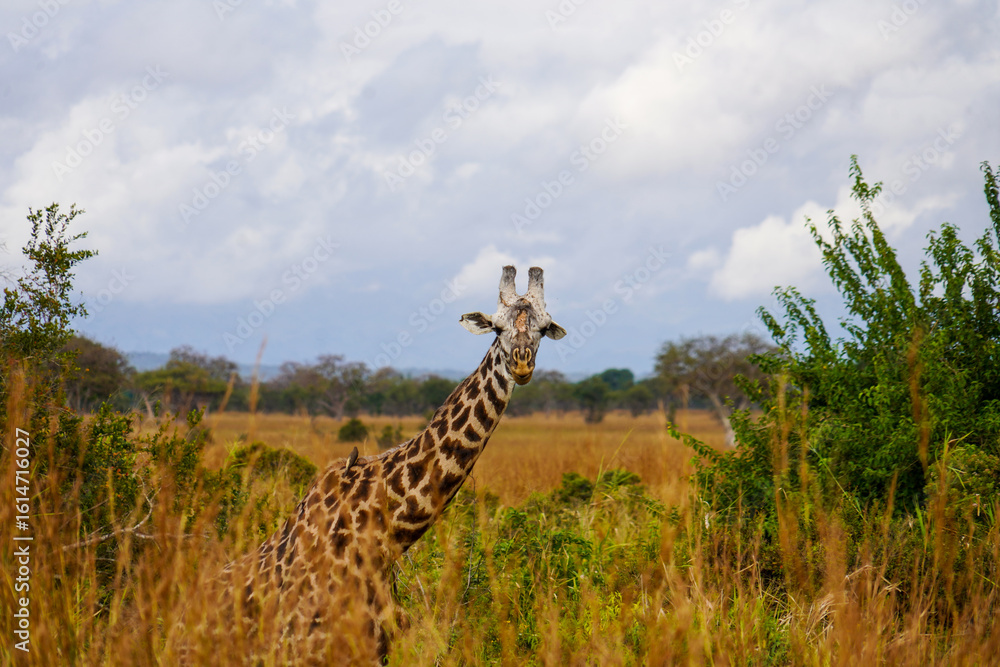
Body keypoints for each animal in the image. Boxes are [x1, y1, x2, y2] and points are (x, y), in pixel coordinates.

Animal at [201, 265, 565, 665]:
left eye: (544, 328)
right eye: (497, 328)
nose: (521, 363)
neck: (387, 537)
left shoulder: (377, 650)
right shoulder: (312, 649)